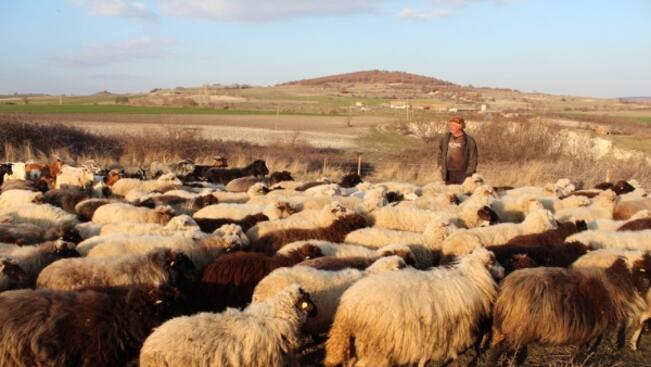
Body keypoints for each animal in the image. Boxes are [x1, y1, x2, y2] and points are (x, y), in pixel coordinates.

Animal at [324, 247, 504, 367]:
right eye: (493, 261)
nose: (504, 270)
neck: (472, 278)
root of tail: (347, 306)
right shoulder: (452, 330)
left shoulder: (432, 333)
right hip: (375, 346)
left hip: (356, 344)